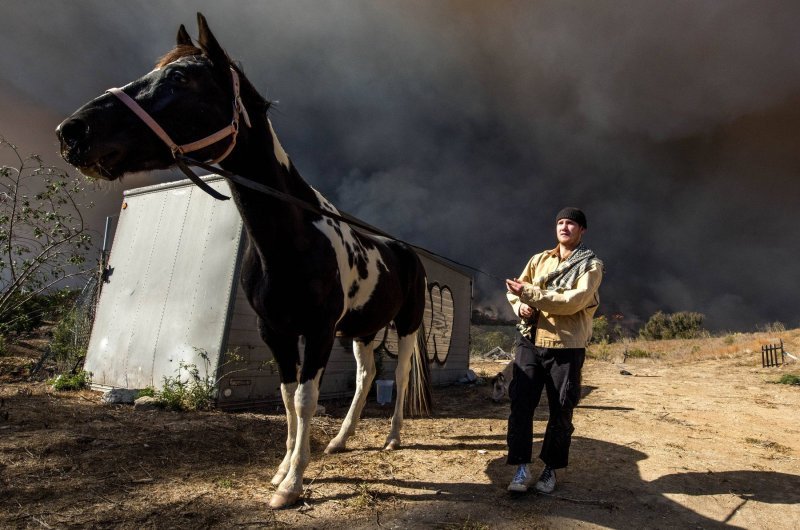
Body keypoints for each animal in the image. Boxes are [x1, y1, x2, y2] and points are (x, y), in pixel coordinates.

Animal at [54, 13, 432, 508]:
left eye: (181, 77)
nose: (72, 131)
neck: (293, 240)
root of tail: (406, 251)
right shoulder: (276, 331)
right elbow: (288, 397)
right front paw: (282, 469)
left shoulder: (317, 330)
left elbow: (307, 400)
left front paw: (292, 485)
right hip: (362, 330)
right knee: (367, 376)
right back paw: (340, 441)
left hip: (405, 325)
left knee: (400, 374)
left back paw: (392, 437)